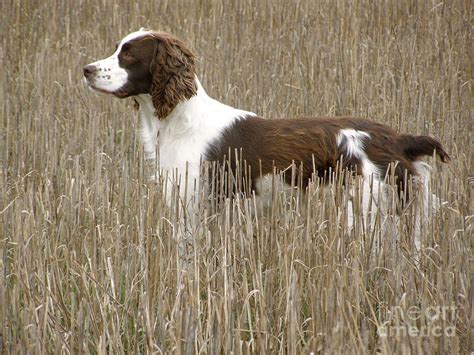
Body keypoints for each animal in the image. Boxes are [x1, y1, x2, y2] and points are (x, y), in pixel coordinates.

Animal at [83, 29, 450, 232]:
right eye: (117, 48)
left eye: (129, 55)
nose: (86, 69)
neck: (180, 122)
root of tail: (398, 138)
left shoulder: (194, 205)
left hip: (367, 205)